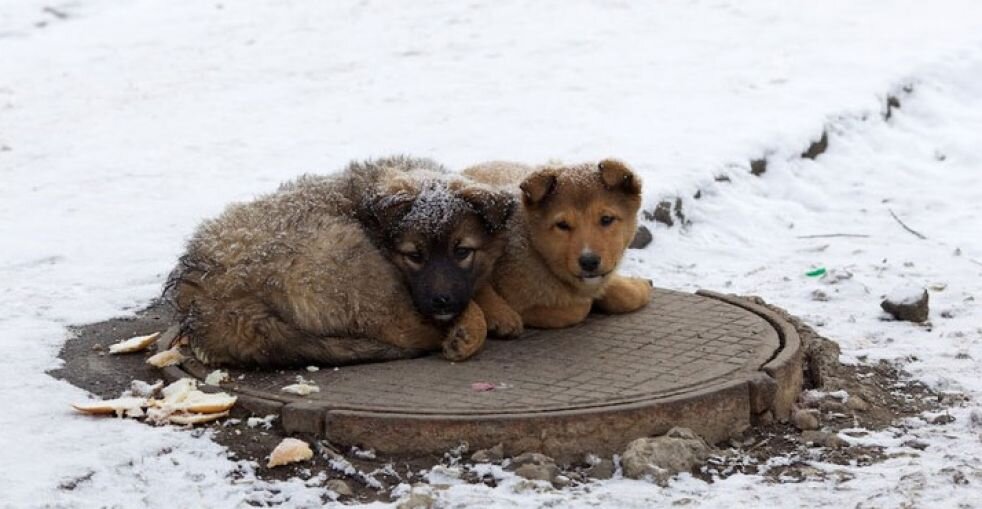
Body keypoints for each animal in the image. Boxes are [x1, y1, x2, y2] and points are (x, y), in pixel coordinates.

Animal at [166, 155, 516, 366]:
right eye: (414, 255)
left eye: (462, 252)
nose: (442, 301)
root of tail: (212, 301)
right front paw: (475, 321)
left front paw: (499, 310)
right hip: (352, 255)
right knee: (405, 330)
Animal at [464, 159, 648, 334]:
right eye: (562, 225)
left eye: (607, 219)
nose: (589, 262)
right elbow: (579, 309)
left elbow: (624, 296)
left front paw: (640, 286)